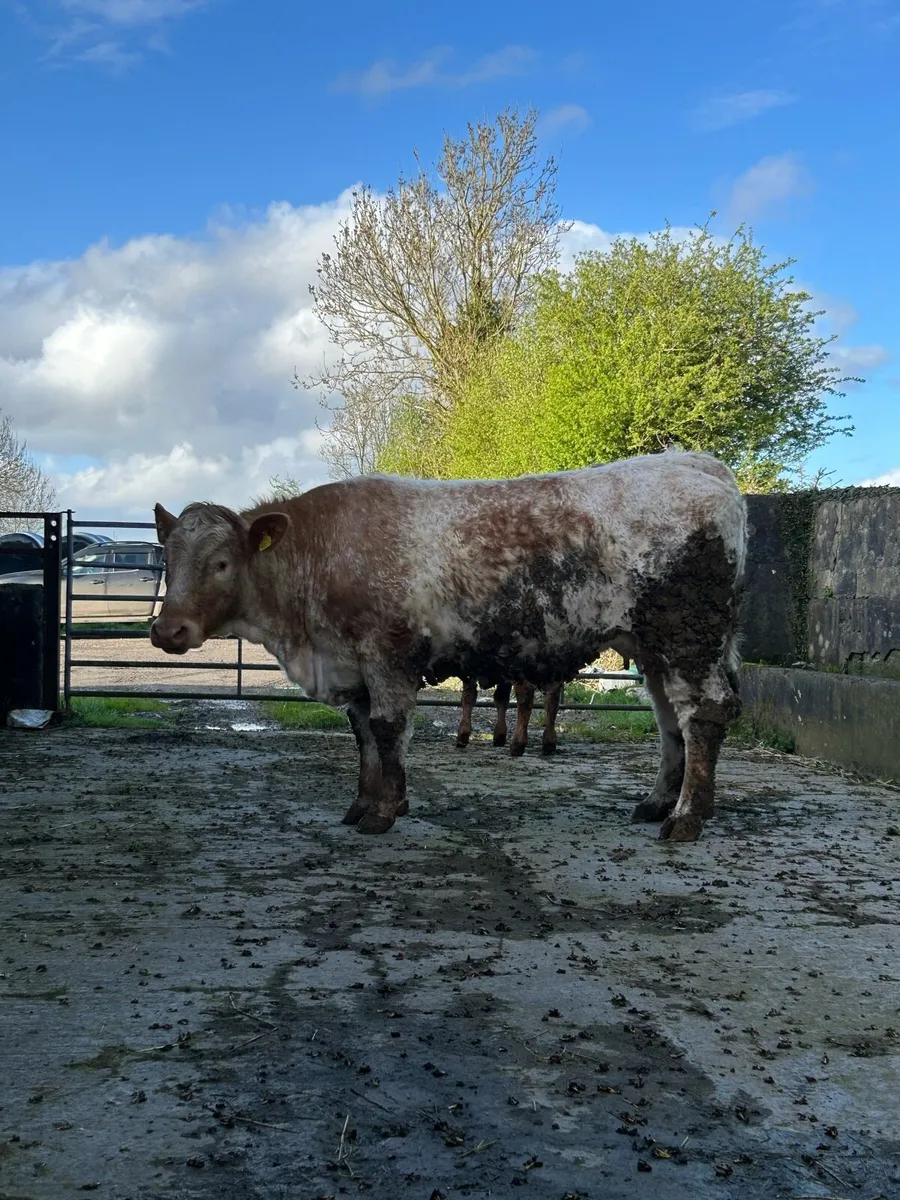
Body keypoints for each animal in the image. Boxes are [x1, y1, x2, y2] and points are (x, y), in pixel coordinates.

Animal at [150, 450, 746, 842]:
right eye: (168, 559)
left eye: (221, 563)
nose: (166, 631)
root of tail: (695, 464)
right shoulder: (352, 666)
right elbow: (363, 734)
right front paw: (363, 802)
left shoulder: (385, 653)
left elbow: (387, 729)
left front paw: (385, 811)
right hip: (654, 648)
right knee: (669, 720)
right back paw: (656, 802)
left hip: (690, 637)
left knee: (702, 714)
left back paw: (686, 817)